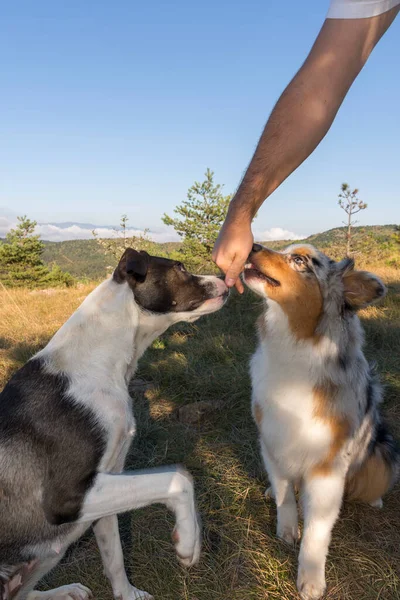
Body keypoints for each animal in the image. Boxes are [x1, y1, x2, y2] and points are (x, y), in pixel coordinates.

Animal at [0, 248, 230, 600]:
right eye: (179, 268)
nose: (225, 280)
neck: (97, 362)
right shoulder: (67, 498)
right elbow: (179, 477)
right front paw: (188, 542)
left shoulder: (107, 484)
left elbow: (115, 556)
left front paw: (128, 594)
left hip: (47, 551)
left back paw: (64, 591)